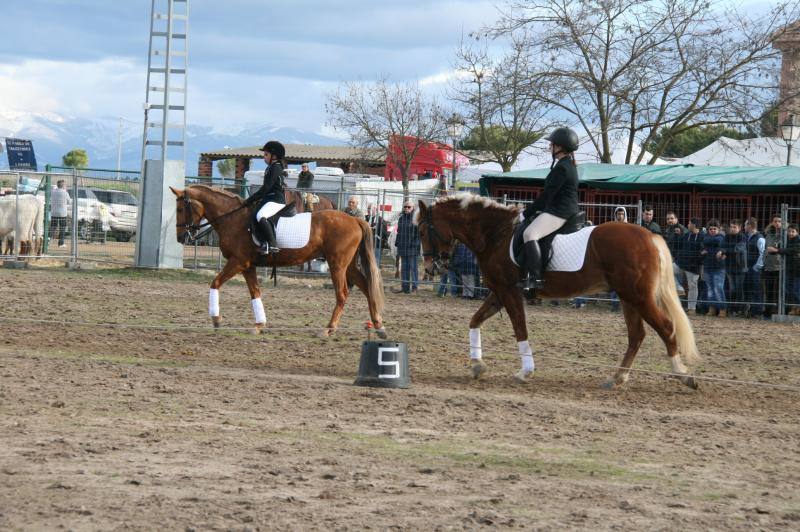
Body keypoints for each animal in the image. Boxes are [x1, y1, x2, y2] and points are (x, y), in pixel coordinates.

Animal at [172, 185, 388, 338]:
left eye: (181, 208)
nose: (180, 238)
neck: (233, 219)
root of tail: (356, 220)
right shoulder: (248, 266)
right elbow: (255, 293)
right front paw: (259, 325)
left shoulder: (238, 262)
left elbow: (215, 282)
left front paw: (216, 319)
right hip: (348, 266)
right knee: (367, 288)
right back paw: (379, 326)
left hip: (338, 265)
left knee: (342, 294)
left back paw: (328, 329)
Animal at [418, 193, 700, 388]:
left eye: (421, 231)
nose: (431, 268)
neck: (494, 234)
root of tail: (650, 236)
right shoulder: (498, 291)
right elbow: (475, 321)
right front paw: (477, 365)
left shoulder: (509, 291)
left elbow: (520, 327)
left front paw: (525, 371)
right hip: (628, 298)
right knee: (637, 335)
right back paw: (617, 378)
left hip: (637, 296)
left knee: (665, 327)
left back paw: (683, 374)